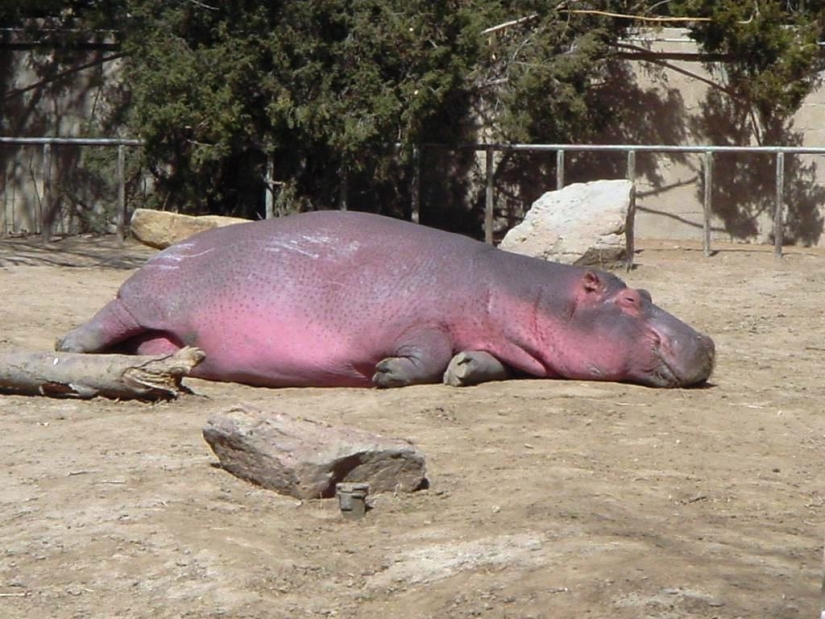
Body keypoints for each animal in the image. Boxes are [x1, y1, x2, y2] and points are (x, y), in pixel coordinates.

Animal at [56, 210, 715, 388]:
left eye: (646, 292)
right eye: (630, 304)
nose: (707, 340)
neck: (528, 296)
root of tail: (169, 250)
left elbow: (481, 361)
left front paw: (465, 370)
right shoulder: (423, 318)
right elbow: (425, 350)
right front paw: (388, 374)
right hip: (147, 295)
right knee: (106, 317)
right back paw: (69, 345)